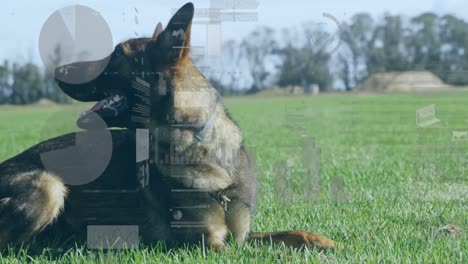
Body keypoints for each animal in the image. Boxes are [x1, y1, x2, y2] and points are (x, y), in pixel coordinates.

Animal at [0, 2, 336, 252]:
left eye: (117, 55)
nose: (59, 70)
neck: (197, 141)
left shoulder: (240, 238)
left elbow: (289, 234)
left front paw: (323, 241)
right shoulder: (210, 244)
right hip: (50, 186)